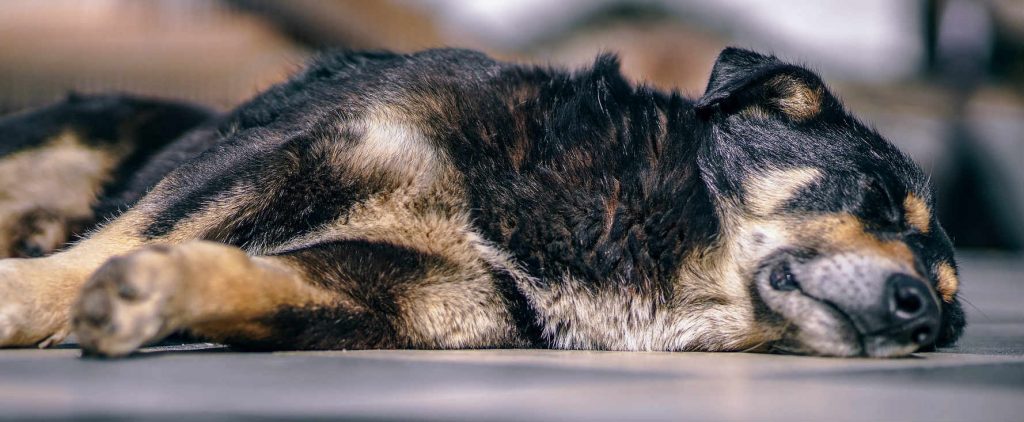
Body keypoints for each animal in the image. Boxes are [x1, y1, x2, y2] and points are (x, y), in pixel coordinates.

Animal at [0, 48, 962, 356]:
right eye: (880, 202)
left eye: (953, 321)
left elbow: (236, 273)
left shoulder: (400, 297)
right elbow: (111, 243)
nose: (919, 313)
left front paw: (154, 291)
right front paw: (26, 296)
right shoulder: (298, 151)